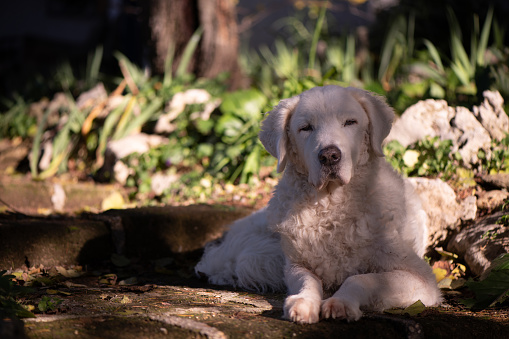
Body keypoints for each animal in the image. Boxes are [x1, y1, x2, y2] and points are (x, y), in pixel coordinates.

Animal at [194, 85, 440, 324]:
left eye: (350, 122)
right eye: (306, 128)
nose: (329, 156)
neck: (330, 206)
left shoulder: (421, 278)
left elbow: (361, 278)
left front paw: (341, 302)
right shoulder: (296, 264)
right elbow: (308, 281)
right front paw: (303, 302)